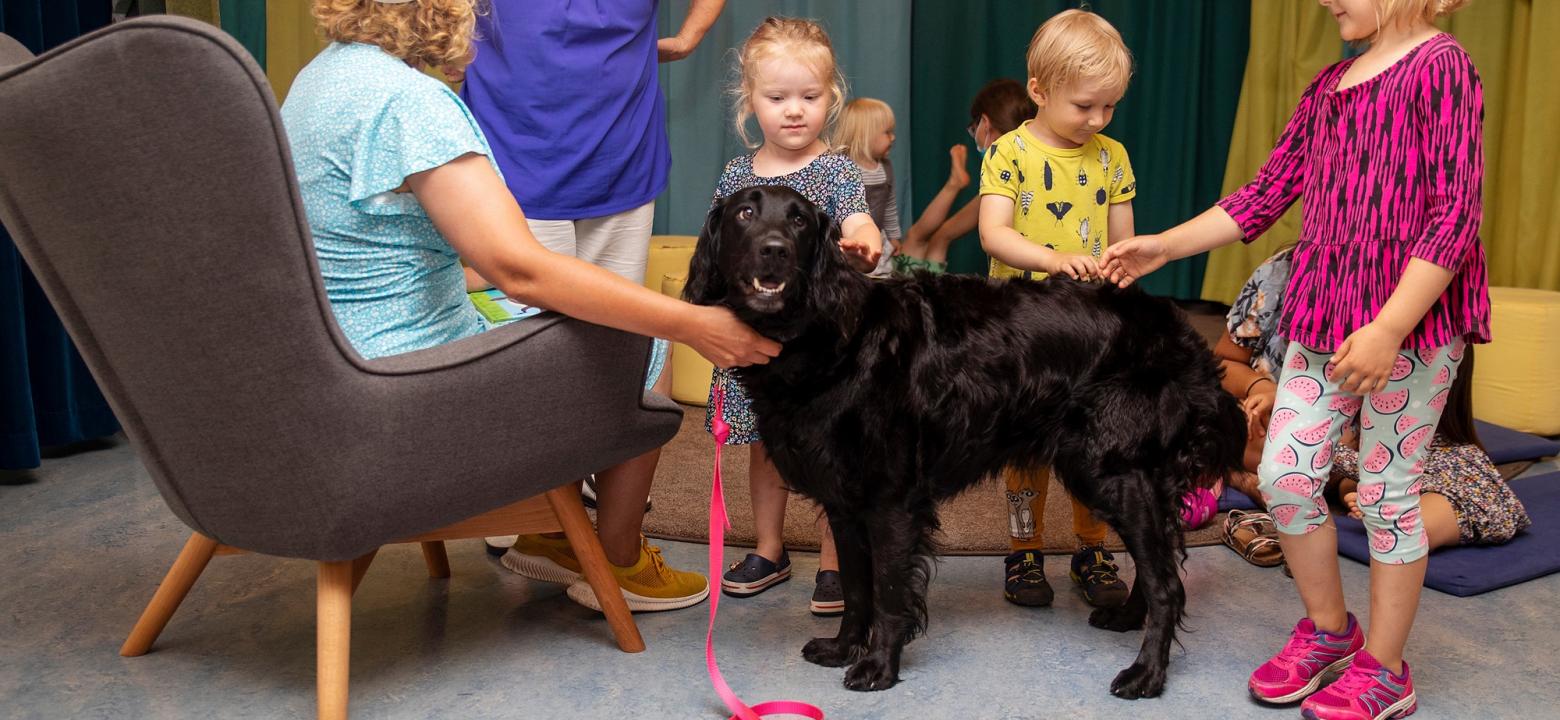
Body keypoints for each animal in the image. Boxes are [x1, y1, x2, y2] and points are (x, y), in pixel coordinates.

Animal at [689, 185, 1248, 698]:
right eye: (745, 213)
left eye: (800, 220)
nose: (775, 249)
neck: (830, 340)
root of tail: (1178, 330)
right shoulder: (845, 504)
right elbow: (855, 586)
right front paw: (844, 647)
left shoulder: (891, 500)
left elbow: (887, 591)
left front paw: (878, 666)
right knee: (1159, 565)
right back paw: (1128, 618)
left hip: (1113, 472)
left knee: (1166, 582)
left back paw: (1146, 673)